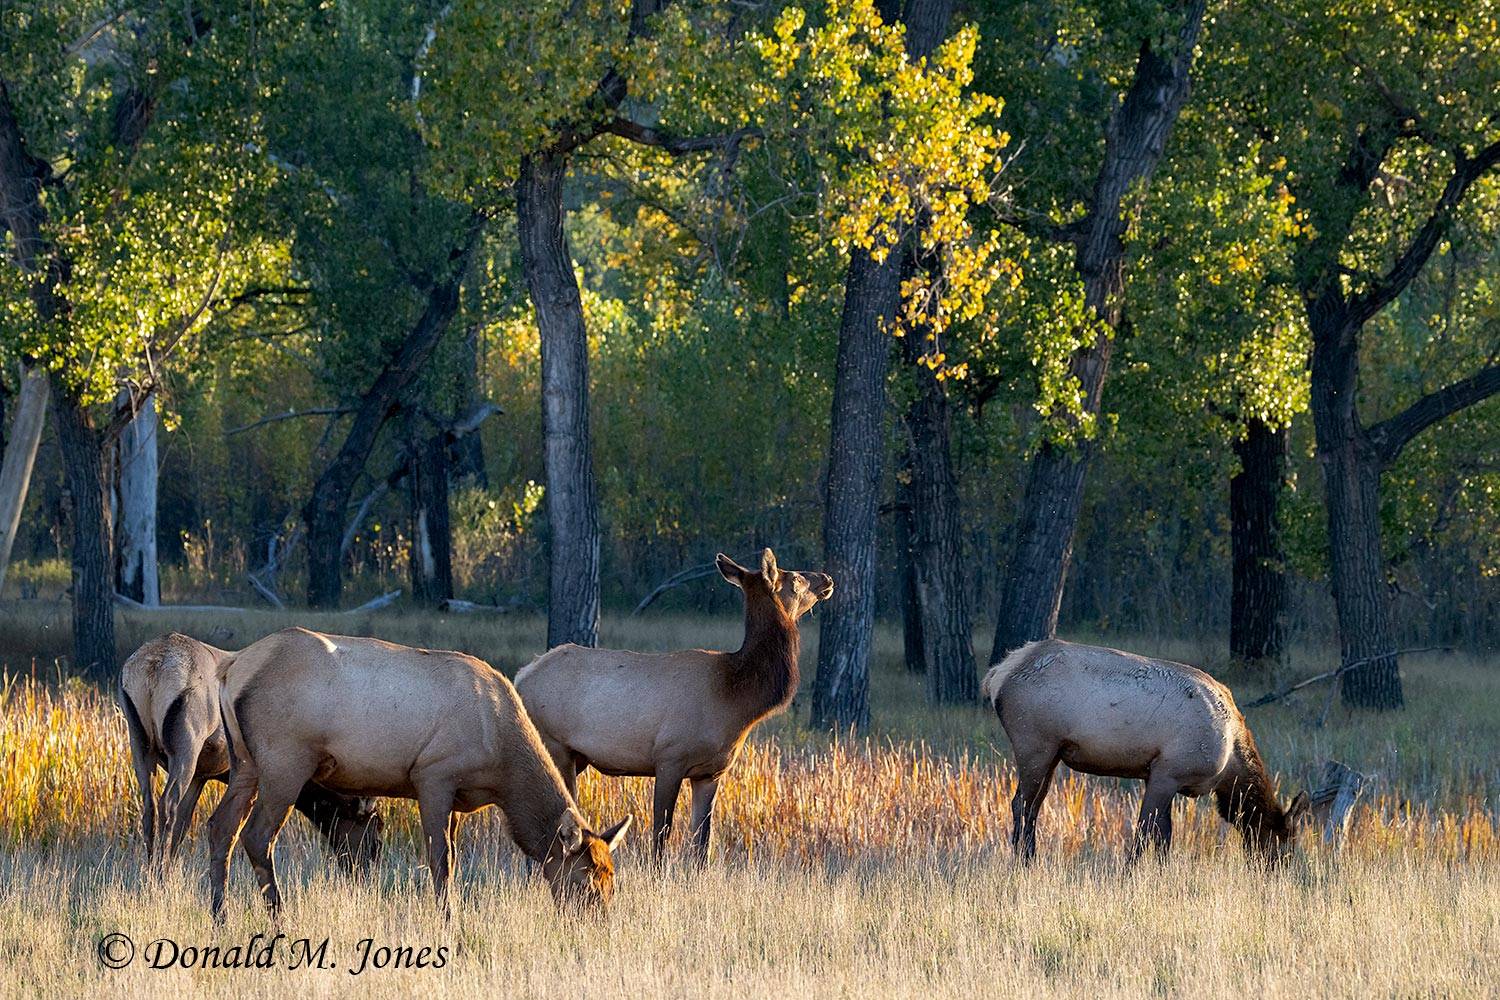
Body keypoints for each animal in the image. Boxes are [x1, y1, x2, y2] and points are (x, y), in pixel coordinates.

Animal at [120, 632, 384, 869]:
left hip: (138, 740)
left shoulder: (201, 775)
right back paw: (157, 872)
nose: (365, 867)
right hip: (187, 742)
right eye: (376, 825)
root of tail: (154, 667)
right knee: (167, 804)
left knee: (149, 807)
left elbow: (183, 826)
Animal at [205, 626, 627, 923]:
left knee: (220, 827)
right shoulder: (434, 775)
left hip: (245, 764)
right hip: (285, 761)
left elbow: (451, 860)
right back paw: (280, 919)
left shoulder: (460, 798)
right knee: (257, 835)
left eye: (613, 880)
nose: (599, 924)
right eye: (586, 880)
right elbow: (441, 860)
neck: (502, 768)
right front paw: (448, 921)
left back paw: (220, 918)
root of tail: (230, 669)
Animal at [510, 542, 828, 863]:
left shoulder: (710, 773)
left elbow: (703, 841)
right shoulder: (669, 758)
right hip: (554, 745)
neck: (735, 696)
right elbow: (661, 833)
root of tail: (520, 676)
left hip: (578, 757)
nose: (826, 577)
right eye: (795, 577)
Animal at [978, 641, 1308, 863]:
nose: (1277, 872)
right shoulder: (1168, 772)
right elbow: (1146, 829)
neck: (1229, 766)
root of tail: (997, 675)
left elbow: (1164, 834)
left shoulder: (1158, 776)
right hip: (1034, 744)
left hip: (1052, 754)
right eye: (1285, 847)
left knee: (1033, 805)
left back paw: (1030, 857)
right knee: (1020, 803)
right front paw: (1129, 872)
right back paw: (1023, 860)